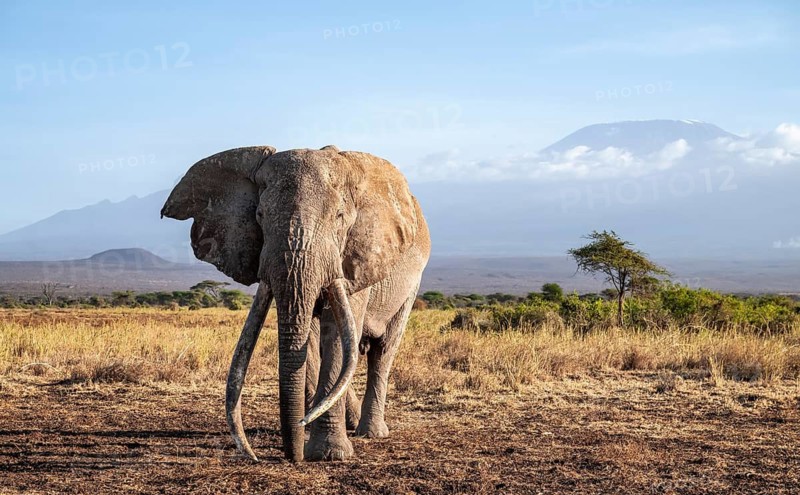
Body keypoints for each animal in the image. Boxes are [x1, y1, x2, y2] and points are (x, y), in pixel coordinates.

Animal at [161, 145, 430, 462]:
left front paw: (329, 454)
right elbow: (311, 339)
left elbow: (335, 335)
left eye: (339, 216)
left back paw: (370, 433)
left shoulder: (355, 257)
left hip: (411, 284)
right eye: (260, 215)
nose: (291, 456)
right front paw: (311, 439)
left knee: (383, 349)